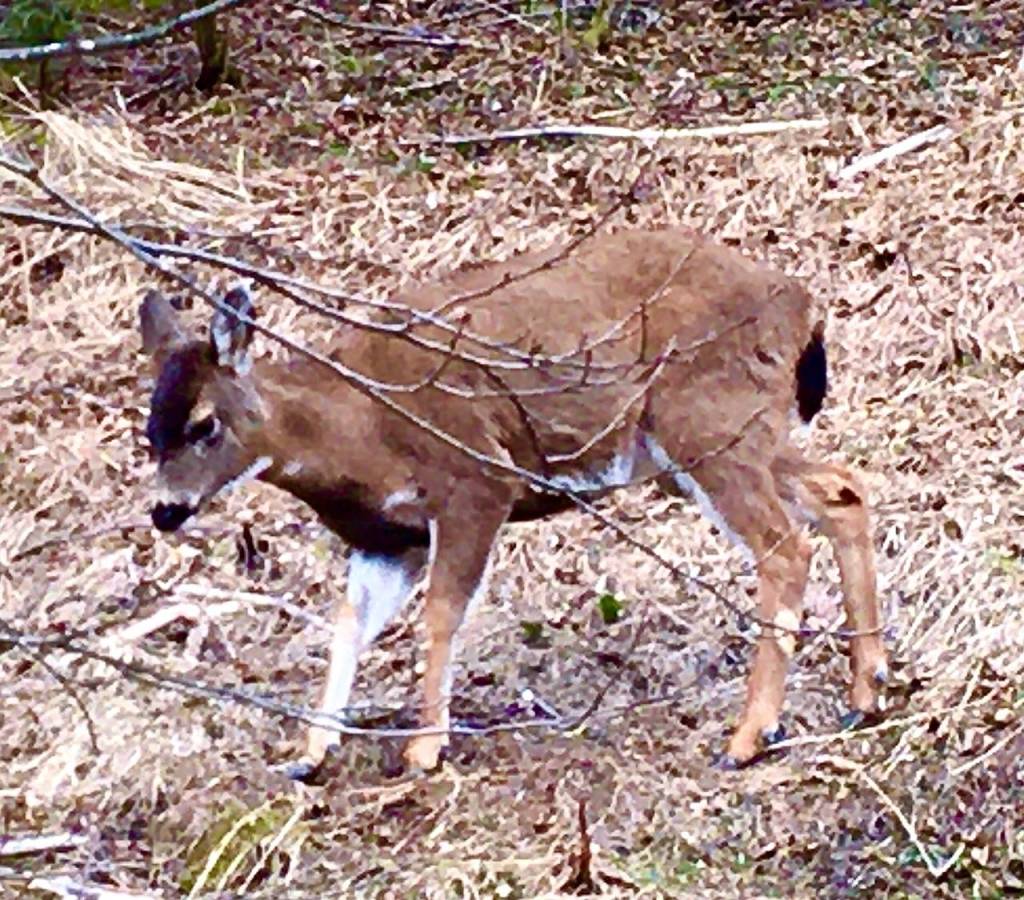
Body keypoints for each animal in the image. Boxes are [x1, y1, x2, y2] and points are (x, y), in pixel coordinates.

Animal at [137, 227, 888, 783]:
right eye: (150, 427)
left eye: (204, 424)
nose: (166, 510)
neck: (358, 430)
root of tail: (800, 305)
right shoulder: (388, 537)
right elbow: (350, 624)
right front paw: (310, 753)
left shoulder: (474, 479)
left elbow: (441, 613)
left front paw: (424, 748)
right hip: (719, 442)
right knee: (842, 490)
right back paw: (865, 690)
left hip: (708, 423)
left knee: (784, 545)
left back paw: (749, 736)